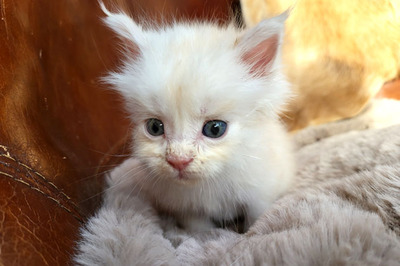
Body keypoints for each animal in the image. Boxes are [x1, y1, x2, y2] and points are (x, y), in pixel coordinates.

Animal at [99, 2, 294, 232]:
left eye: (215, 129)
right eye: (155, 127)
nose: (178, 161)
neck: (209, 184)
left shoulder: (260, 195)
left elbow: (255, 223)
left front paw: (246, 235)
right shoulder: (186, 209)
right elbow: (201, 232)